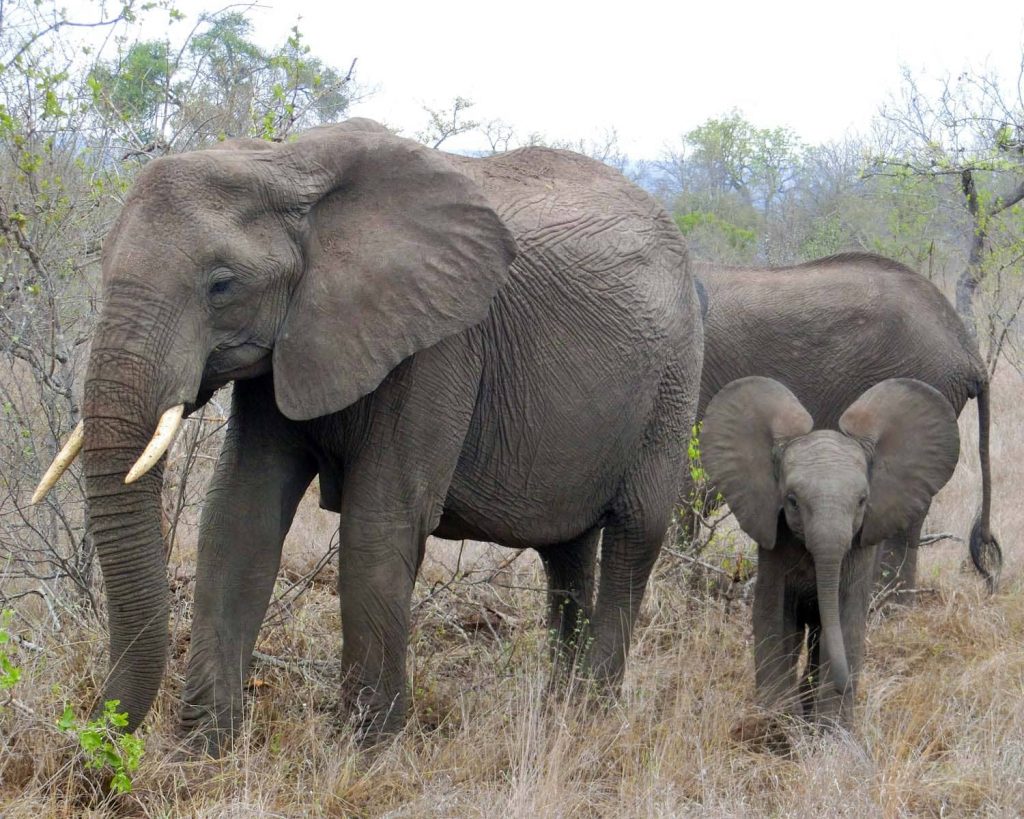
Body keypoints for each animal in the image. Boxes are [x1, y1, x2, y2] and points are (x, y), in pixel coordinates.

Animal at [34, 118, 704, 753]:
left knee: (635, 534)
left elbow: (379, 522)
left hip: (674, 378)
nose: (91, 736)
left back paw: (592, 715)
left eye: (222, 284)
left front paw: (366, 752)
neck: (286, 165)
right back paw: (559, 708)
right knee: (565, 551)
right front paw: (199, 754)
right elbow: (240, 514)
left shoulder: (440, 342)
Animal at [704, 376, 958, 728]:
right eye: (792, 500)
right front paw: (777, 726)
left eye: (863, 501)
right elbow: (776, 616)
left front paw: (832, 730)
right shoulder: (776, 543)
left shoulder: (857, 553)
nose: (844, 683)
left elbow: (845, 617)